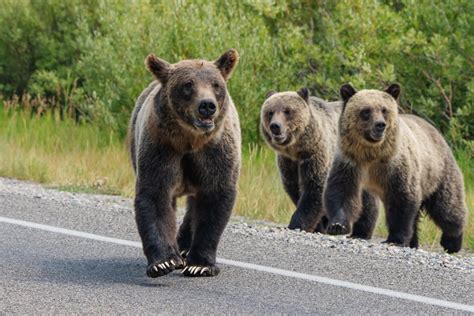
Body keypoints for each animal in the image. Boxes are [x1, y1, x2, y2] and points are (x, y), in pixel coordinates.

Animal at [128, 48, 241, 276]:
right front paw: (164, 262)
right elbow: (155, 196)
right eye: (188, 84)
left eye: (216, 84)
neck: (190, 141)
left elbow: (215, 199)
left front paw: (200, 265)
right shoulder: (161, 148)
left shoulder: (215, 154)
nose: (207, 106)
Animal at [260, 87, 378, 238]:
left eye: (287, 111)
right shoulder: (288, 163)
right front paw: (318, 226)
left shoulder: (316, 155)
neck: (298, 149)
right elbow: (294, 188)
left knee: (367, 198)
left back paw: (361, 231)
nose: (275, 126)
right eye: (270, 112)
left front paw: (297, 224)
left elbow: (315, 187)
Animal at [324, 82, 468, 253]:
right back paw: (413, 242)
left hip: (437, 171)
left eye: (384, 110)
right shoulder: (350, 162)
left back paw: (452, 241)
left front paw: (395, 239)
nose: (380, 125)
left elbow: (402, 199)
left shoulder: (397, 165)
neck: (372, 154)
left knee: (447, 205)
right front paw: (337, 226)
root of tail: (436, 131)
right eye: (366, 111)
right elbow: (341, 190)